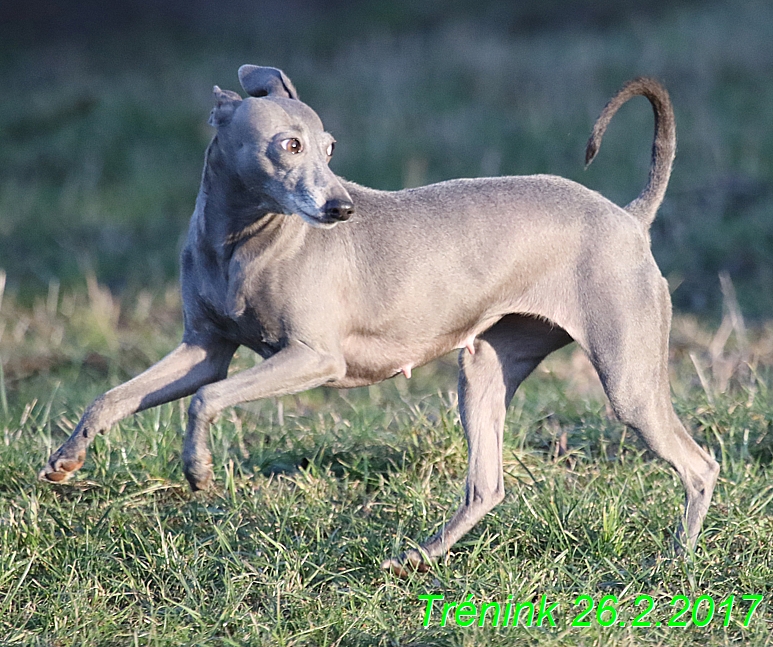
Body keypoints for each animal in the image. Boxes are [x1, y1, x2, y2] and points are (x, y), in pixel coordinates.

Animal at [40, 67, 716, 576]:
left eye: (330, 147)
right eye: (289, 144)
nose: (342, 208)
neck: (241, 242)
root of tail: (628, 217)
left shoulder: (313, 358)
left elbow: (206, 400)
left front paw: (199, 472)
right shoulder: (203, 349)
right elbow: (114, 396)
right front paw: (66, 461)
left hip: (627, 377)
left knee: (700, 464)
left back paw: (676, 561)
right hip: (484, 367)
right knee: (486, 486)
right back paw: (419, 557)